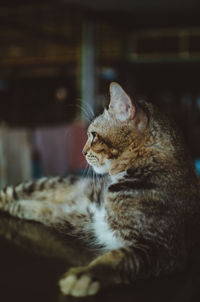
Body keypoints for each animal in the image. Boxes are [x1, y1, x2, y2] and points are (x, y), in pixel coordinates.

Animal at [0, 82, 200, 298]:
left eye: (94, 135)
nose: (82, 152)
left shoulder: (161, 248)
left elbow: (118, 257)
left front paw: (85, 274)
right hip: (48, 182)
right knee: (10, 191)